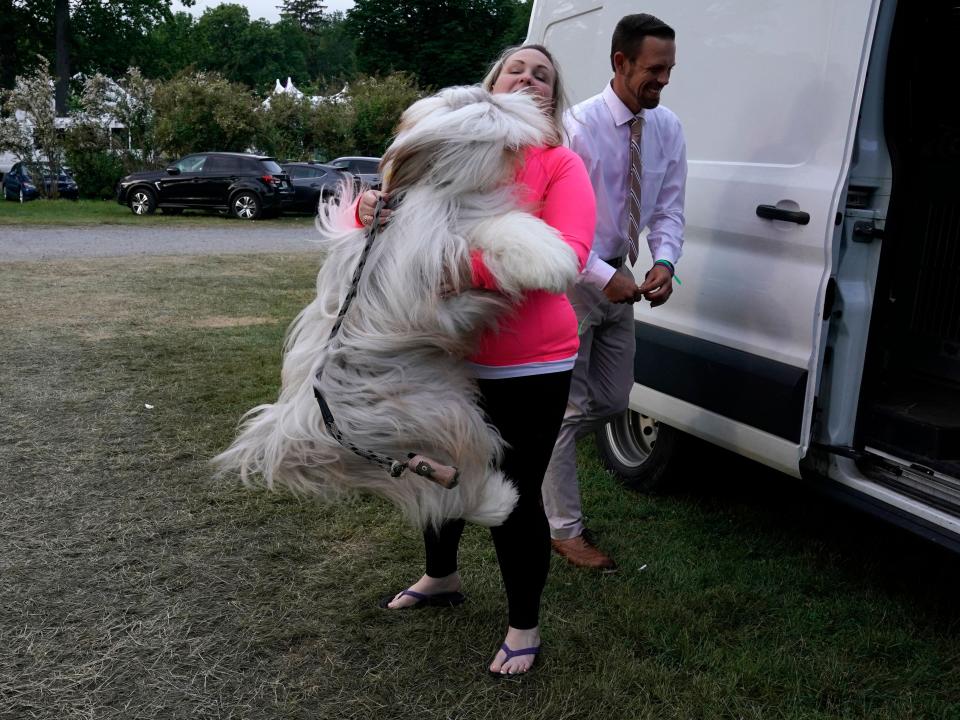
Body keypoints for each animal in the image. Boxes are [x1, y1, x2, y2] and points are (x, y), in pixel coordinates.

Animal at [214, 88, 576, 528]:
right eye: (480, 118)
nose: (494, 96)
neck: (445, 190)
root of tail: (298, 430)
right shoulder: (433, 248)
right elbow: (497, 227)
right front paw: (552, 258)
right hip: (443, 416)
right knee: (456, 487)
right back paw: (500, 501)